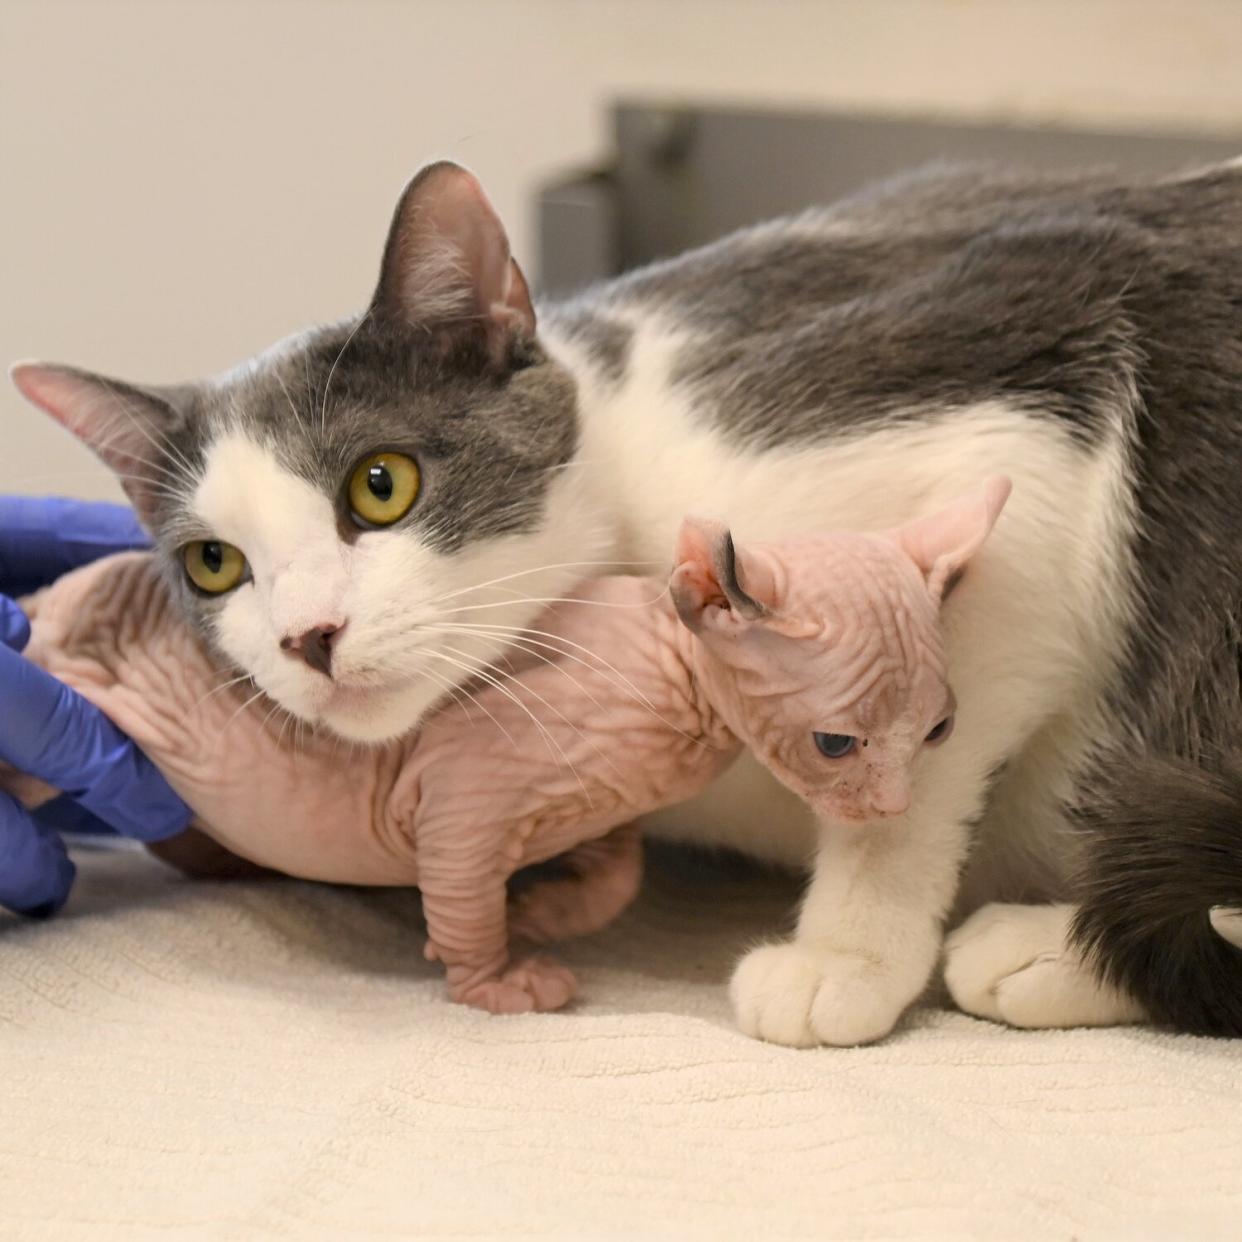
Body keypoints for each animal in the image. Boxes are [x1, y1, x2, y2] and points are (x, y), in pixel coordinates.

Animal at [9, 479, 1008, 1013]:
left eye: (940, 730)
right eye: (837, 742)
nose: (893, 807)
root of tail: (54, 599)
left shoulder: (604, 806)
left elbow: (621, 876)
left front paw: (549, 910)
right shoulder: (462, 802)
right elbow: (460, 901)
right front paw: (498, 979)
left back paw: (215, 855)